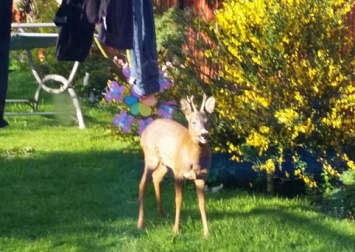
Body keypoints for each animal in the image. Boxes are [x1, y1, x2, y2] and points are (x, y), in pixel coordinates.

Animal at [138, 93, 217, 237]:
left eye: (208, 121)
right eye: (193, 122)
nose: (204, 134)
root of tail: (146, 130)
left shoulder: (202, 175)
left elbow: (202, 203)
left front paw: (206, 233)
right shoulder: (179, 173)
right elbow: (178, 200)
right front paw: (176, 229)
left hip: (165, 163)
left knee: (156, 177)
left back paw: (161, 213)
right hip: (151, 157)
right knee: (142, 184)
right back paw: (141, 223)